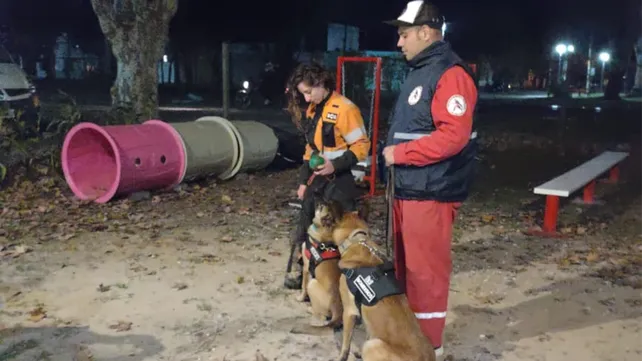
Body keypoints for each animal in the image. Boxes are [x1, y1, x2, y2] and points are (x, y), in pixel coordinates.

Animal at [318, 201, 436, 360]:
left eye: (330, 219)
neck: (356, 241)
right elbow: (368, 331)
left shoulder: (349, 312)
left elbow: (346, 343)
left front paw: (342, 356)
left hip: (372, 345)